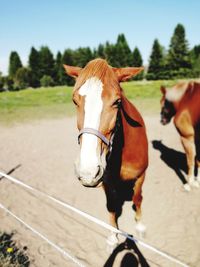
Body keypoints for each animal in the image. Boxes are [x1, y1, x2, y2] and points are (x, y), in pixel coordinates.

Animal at [64, 59, 148, 244]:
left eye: (117, 101)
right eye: (74, 101)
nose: (87, 172)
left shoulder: (141, 176)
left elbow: (138, 198)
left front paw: (140, 227)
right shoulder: (106, 182)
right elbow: (111, 205)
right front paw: (112, 236)